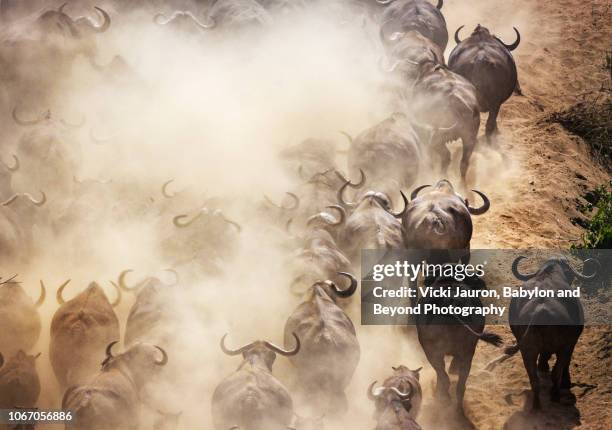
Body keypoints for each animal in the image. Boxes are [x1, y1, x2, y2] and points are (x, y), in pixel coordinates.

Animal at [416, 276, 502, 414]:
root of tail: (451, 303)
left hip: (432, 351)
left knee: (445, 377)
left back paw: (444, 399)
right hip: (466, 352)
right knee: (460, 386)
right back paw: (457, 409)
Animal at [498, 255, 592, 410]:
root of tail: (539, 312)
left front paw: (542, 367)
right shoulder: (571, 343)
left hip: (527, 350)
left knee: (533, 378)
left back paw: (536, 406)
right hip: (563, 346)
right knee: (556, 372)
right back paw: (555, 396)